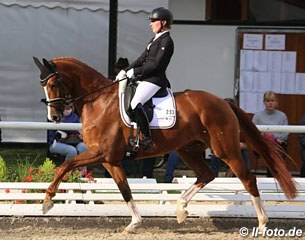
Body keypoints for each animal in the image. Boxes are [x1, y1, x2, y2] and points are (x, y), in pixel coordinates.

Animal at [32, 56, 294, 232]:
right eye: (42, 85)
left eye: (53, 84)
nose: (54, 117)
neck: (97, 101)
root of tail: (223, 101)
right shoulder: (110, 160)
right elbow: (124, 189)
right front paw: (134, 224)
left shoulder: (100, 153)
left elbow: (65, 166)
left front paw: (47, 202)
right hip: (187, 150)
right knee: (206, 174)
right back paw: (180, 209)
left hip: (225, 150)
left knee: (248, 179)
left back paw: (262, 224)